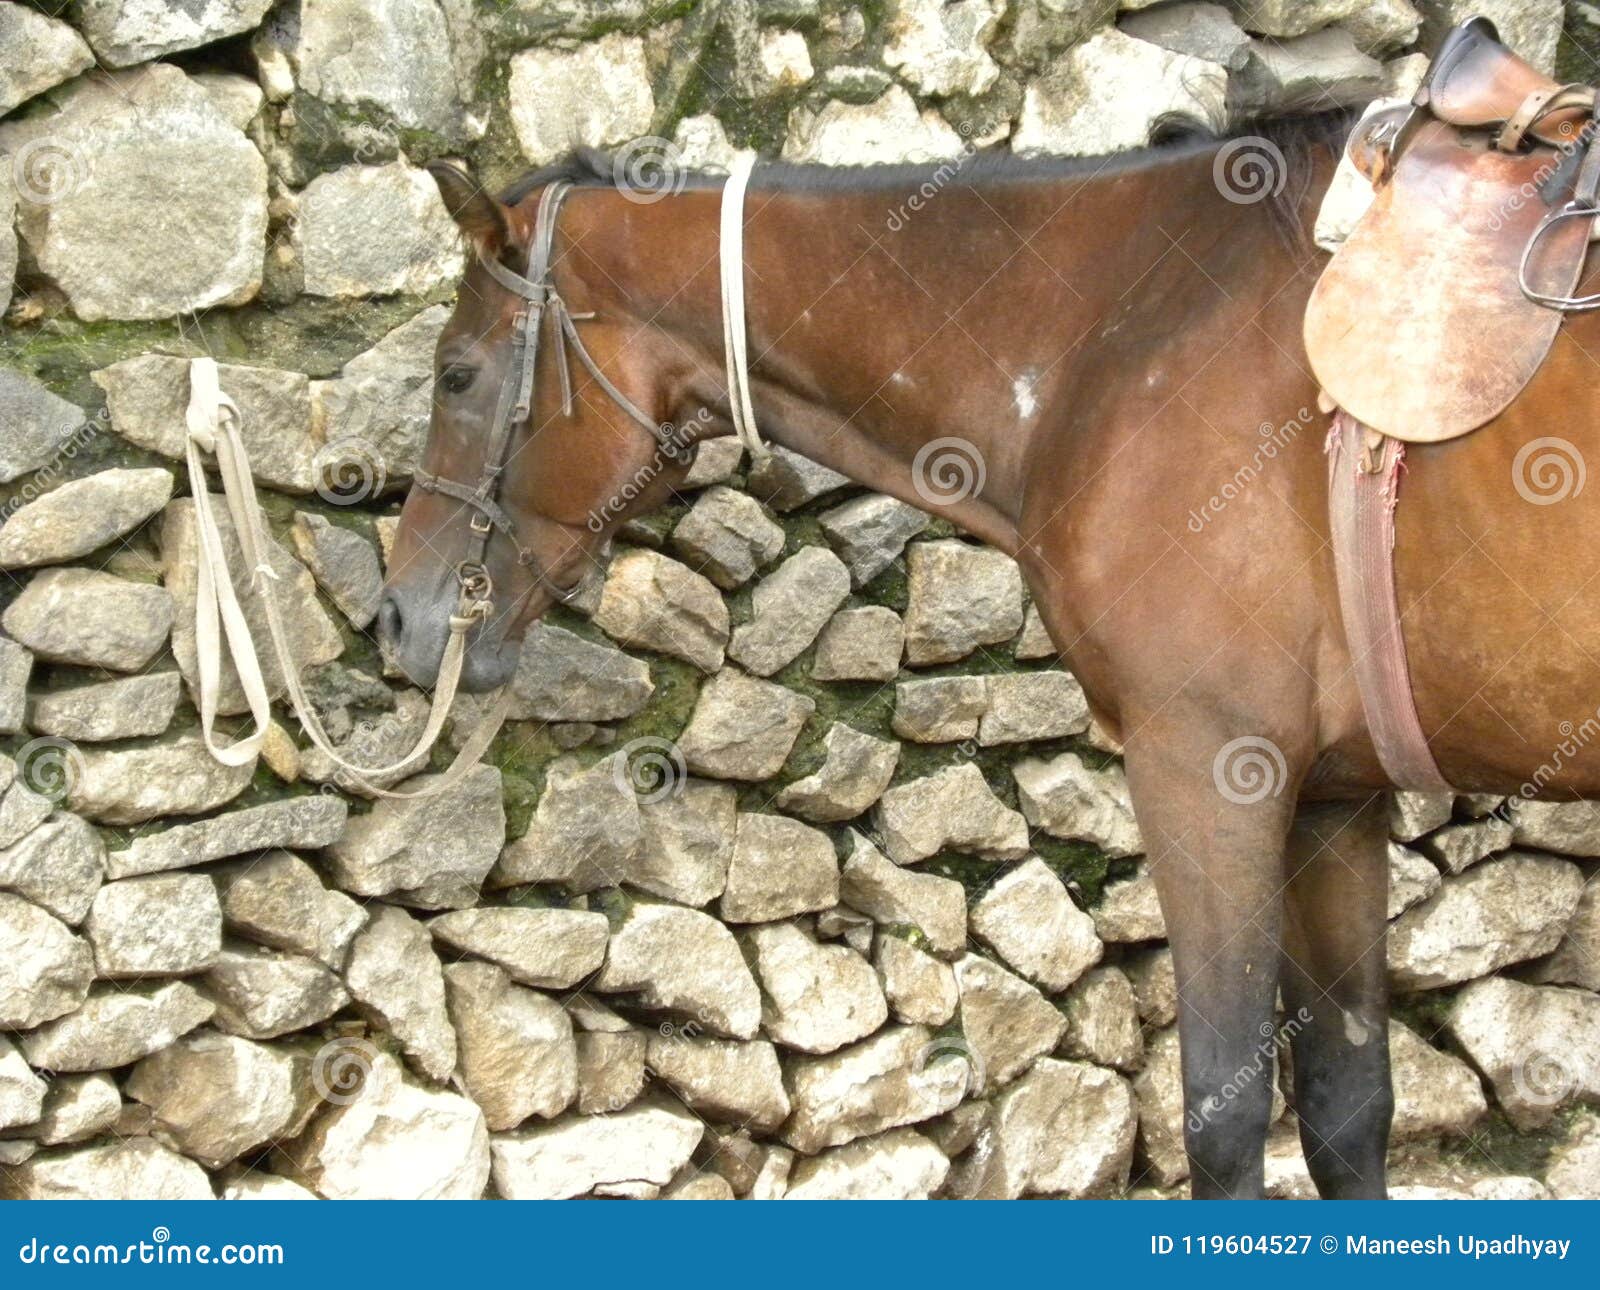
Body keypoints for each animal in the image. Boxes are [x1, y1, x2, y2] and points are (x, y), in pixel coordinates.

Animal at [379, 118, 1600, 1199]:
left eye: (456, 375)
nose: (398, 617)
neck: (1130, 322)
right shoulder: (1336, 798)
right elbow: (1350, 1108)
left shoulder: (1211, 771)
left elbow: (1222, 1118)